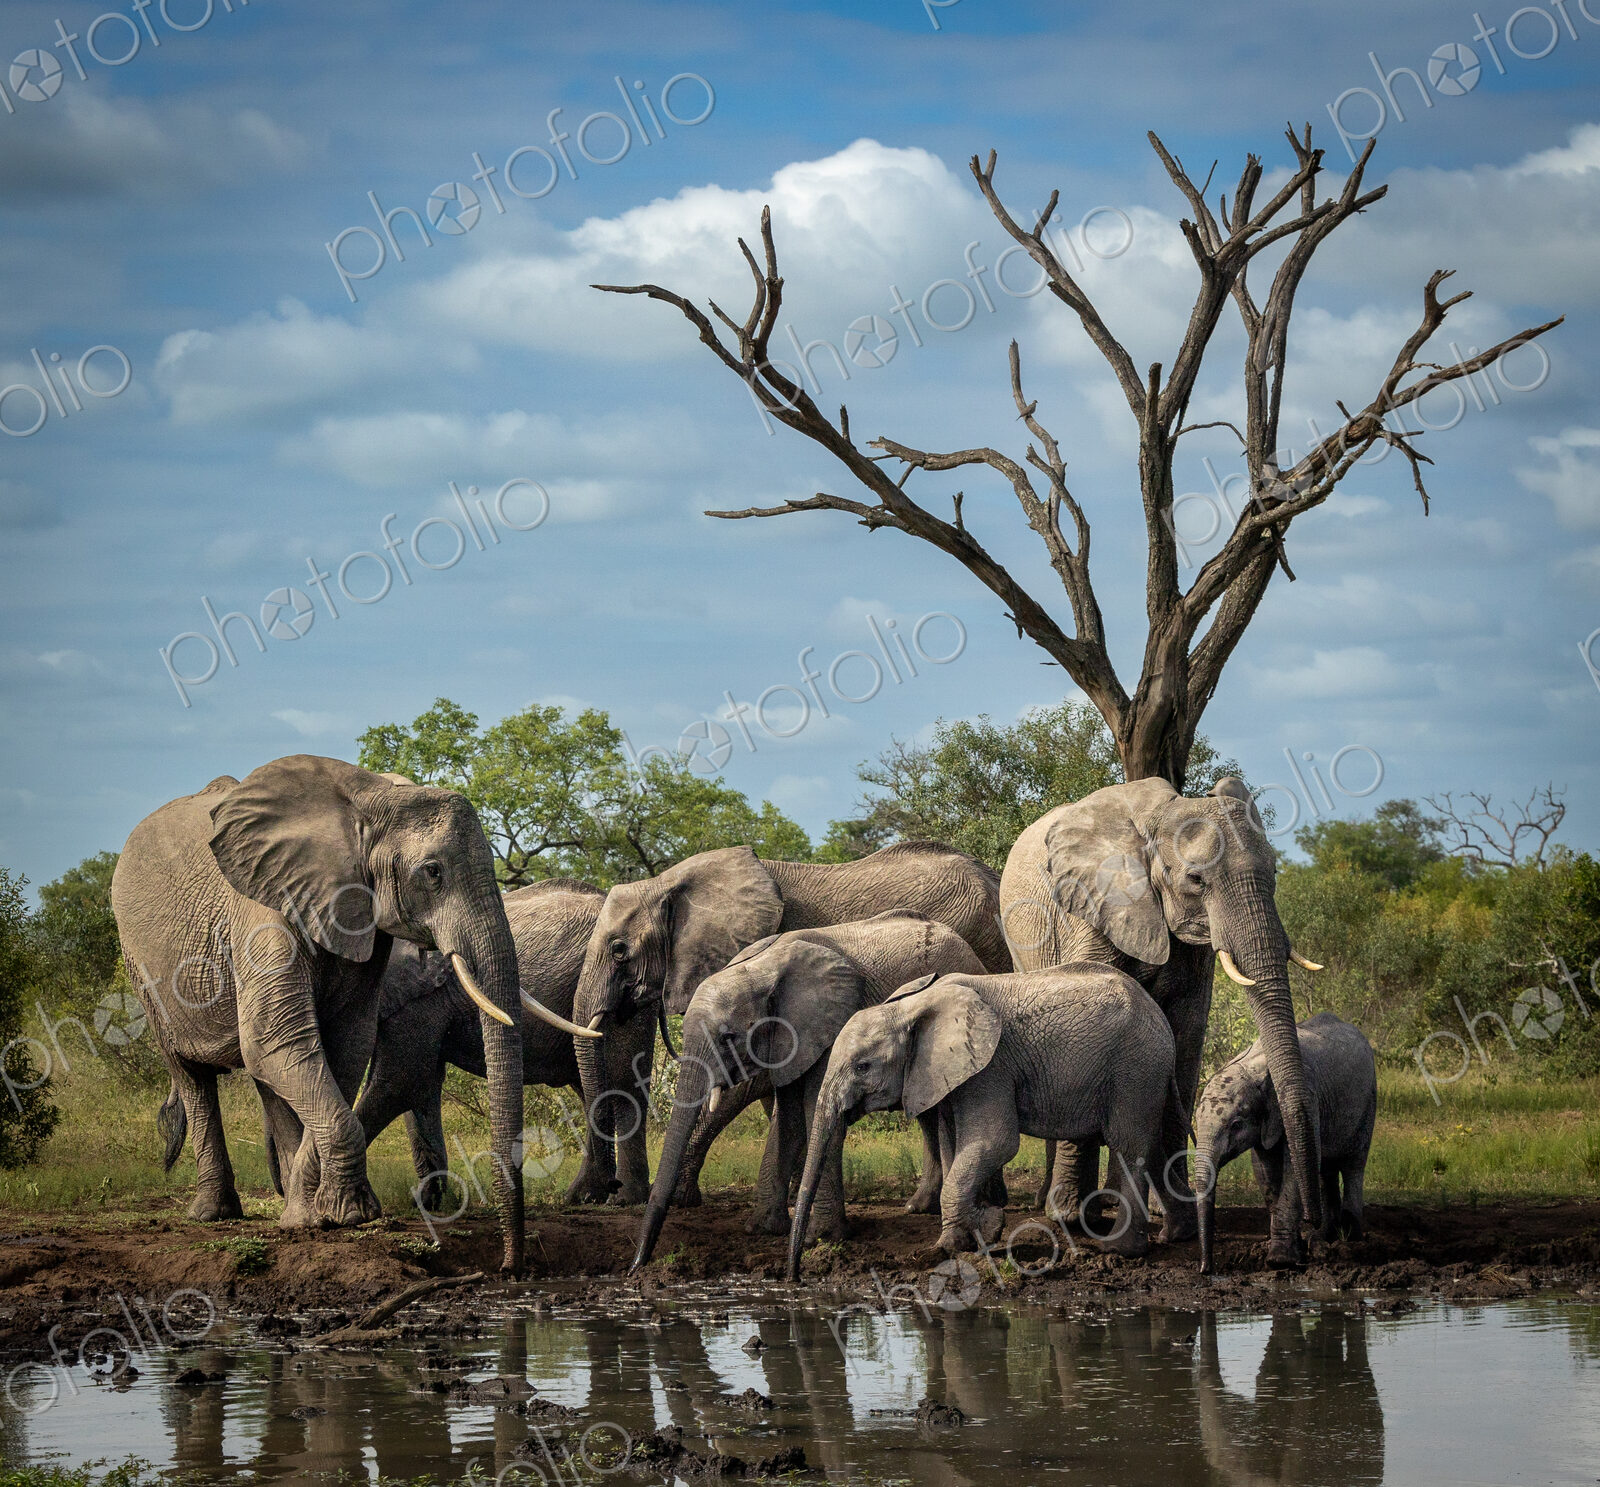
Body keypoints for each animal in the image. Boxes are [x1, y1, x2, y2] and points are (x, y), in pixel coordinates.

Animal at [109, 755, 528, 1271]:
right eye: (432, 872)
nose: (510, 1267)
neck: (370, 796)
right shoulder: (263, 911)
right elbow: (274, 1038)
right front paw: (346, 1215)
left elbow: (343, 1044)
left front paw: (310, 1217)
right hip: (142, 968)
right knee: (192, 1073)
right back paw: (213, 1214)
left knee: (267, 1079)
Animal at [630, 910, 988, 1269]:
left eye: (727, 1038)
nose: (638, 1264)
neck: (763, 968)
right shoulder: (790, 1040)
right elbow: (787, 1121)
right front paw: (762, 1229)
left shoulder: (831, 1030)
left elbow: (816, 1110)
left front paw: (823, 1237)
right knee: (927, 1112)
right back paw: (920, 1207)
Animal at [788, 966, 1180, 1276]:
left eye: (862, 1067)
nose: (794, 1275)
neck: (911, 1008)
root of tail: (1158, 1015)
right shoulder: (950, 1077)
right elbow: (953, 1147)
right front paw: (960, 1239)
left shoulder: (989, 1069)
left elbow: (997, 1141)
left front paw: (982, 1231)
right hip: (1144, 1071)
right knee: (1154, 1146)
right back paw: (1175, 1235)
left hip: (1135, 1067)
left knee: (1129, 1145)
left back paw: (1120, 1251)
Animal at [998, 775, 1325, 1242]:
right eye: (1195, 879)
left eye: (1275, 873)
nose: (1313, 1224)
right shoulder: (1091, 907)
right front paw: (1068, 1217)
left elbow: (1185, 1040)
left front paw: (1176, 1221)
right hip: (1021, 944)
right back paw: (1067, 1206)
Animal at [1196, 1011, 1376, 1272]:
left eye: (1236, 1125)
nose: (1206, 1268)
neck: (1255, 1067)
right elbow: (1266, 1169)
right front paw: (1295, 1249)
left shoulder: (1308, 1098)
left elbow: (1293, 1168)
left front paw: (1280, 1261)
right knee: (1325, 1168)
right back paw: (1324, 1236)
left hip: (1369, 1099)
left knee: (1354, 1163)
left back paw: (1350, 1238)